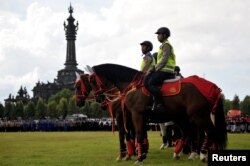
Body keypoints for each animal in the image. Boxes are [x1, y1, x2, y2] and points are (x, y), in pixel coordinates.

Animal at [75, 63, 228, 163]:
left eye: (91, 81)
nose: (100, 99)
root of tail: (211, 86)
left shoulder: (131, 116)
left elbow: (129, 135)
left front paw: (132, 155)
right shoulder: (135, 118)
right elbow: (137, 135)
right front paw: (138, 152)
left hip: (198, 116)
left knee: (208, 133)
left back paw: (200, 154)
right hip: (184, 117)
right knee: (190, 133)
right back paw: (181, 152)